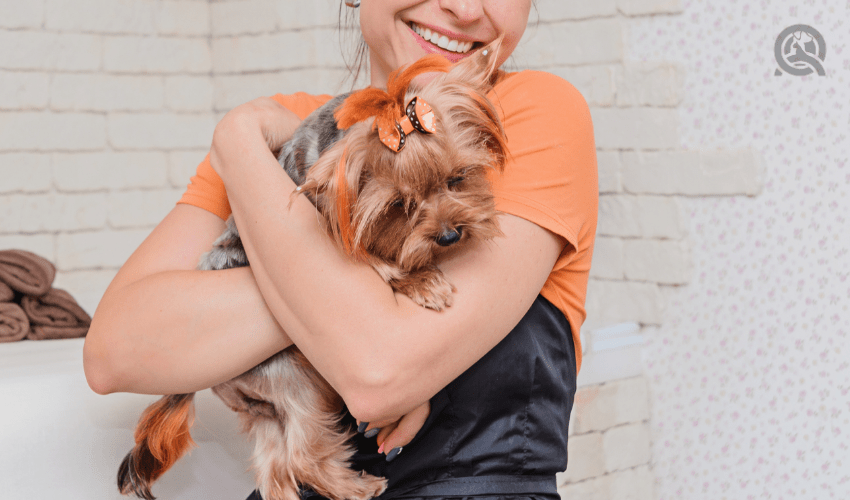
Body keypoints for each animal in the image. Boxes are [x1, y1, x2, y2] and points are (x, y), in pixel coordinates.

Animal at [117, 40, 506, 500]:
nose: (449, 236)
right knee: (303, 455)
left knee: (275, 465)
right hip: (296, 380)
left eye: (457, 178)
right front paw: (424, 281)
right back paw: (358, 486)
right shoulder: (329, 221)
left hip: (267, 402)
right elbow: (374, 259)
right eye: (399, 206)